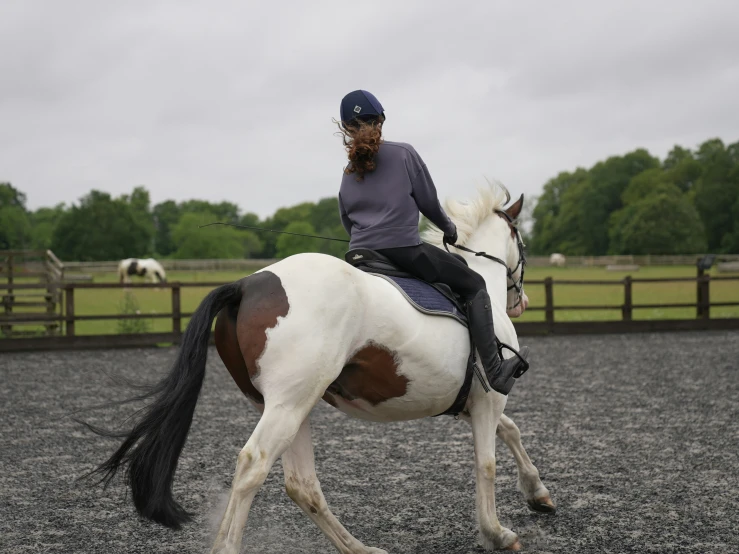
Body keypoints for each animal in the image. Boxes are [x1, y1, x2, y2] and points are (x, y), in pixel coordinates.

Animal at [89, 182, 556, 552]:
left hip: (290, 406)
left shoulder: (471, 401)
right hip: (289, 406)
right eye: (522, 240)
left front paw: (538, 494)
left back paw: (361, 549)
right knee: (253, 465)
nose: (522, 301)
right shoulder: (489, 398)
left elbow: (511, 431)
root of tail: (246, 284)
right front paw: (496, 533)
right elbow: (487, 462)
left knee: (301, 484)